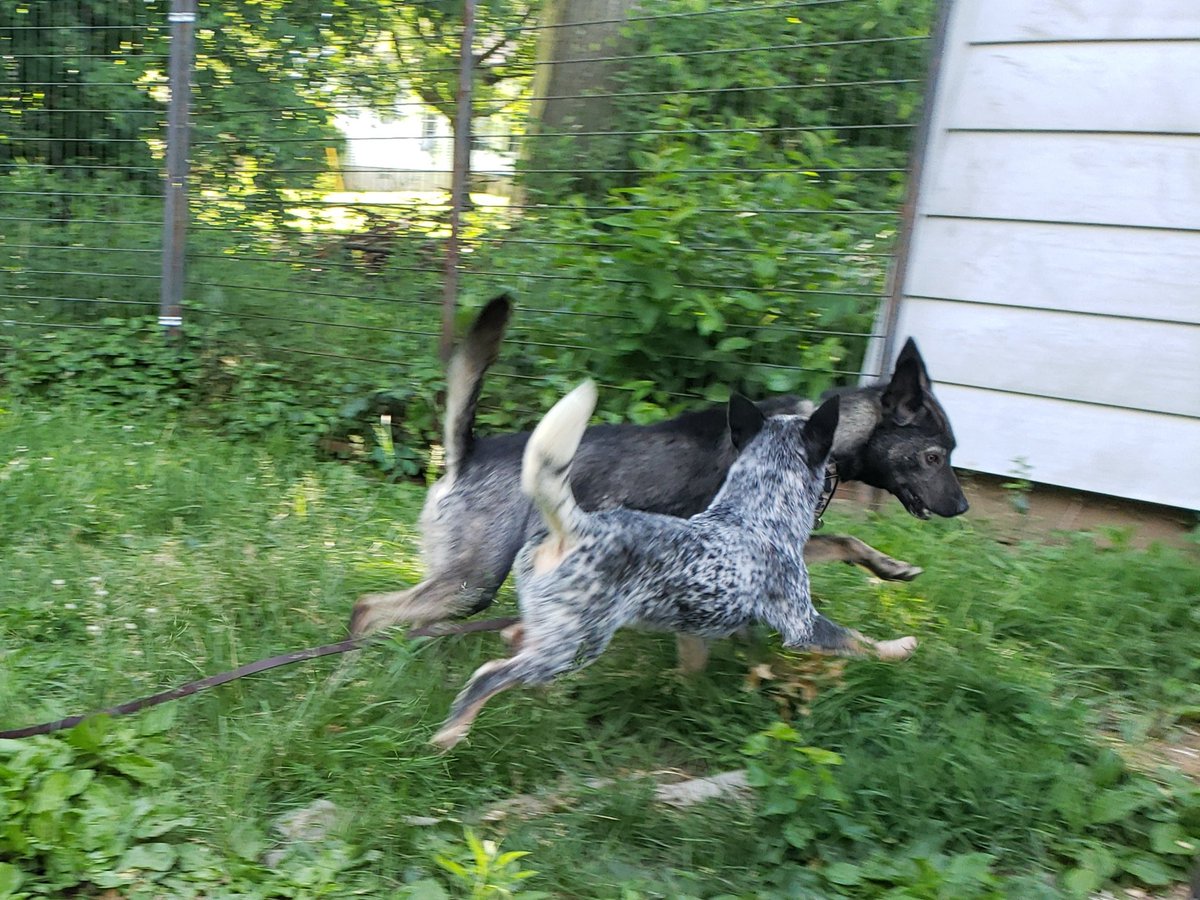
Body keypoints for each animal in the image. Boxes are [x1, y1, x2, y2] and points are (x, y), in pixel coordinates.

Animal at [348, 296, 964, 633]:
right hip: (472, 582)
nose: (960, 507)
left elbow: (844, 542)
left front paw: (888, 567)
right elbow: (842, 542)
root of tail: (467, 454)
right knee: (367, 609)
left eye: (952, 453)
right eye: (934, 456)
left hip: (459, 582)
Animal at [436, 384, 912, 748]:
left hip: (564, 633)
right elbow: (861, 643)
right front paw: (900, 647)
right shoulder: (803, 624)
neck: (754, 511)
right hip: (576, 645)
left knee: (515, 638)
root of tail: (573, 526)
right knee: (488, 676)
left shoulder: (702, 631)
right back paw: (451, 733)